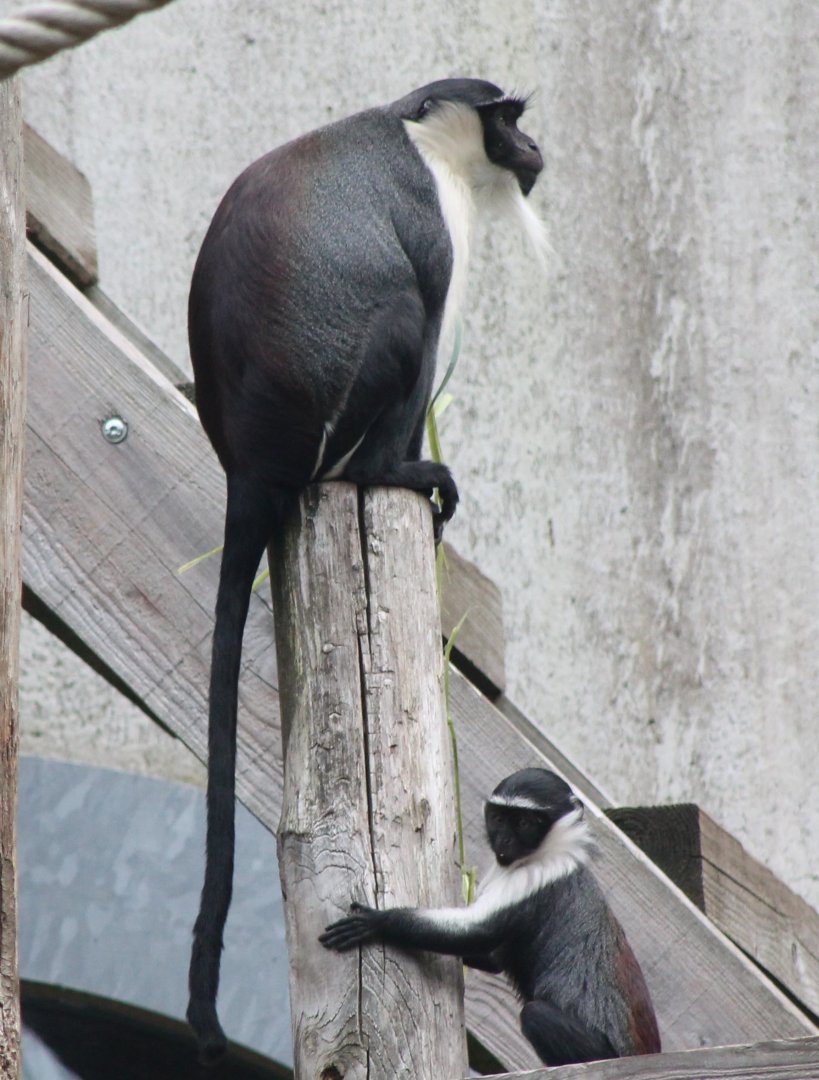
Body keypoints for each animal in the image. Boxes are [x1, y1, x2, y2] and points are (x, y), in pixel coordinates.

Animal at [186, 79, 546, 1061]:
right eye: (508, 117)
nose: (532, 148)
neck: (417, 129)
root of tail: (248, 466)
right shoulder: (430, 220)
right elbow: (423, 330)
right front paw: (413, 472)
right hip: (351, 382)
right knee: (401, 320)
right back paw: (391, 474)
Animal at [320, 768, 661, 1067]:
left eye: (523, 822)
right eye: (497, 818)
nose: (503, 842)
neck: (549, 851)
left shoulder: (533, 880)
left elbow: (477, 932)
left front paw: (378, 922)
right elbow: (492, 955)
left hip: (602, 1051)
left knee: (536, 1014)